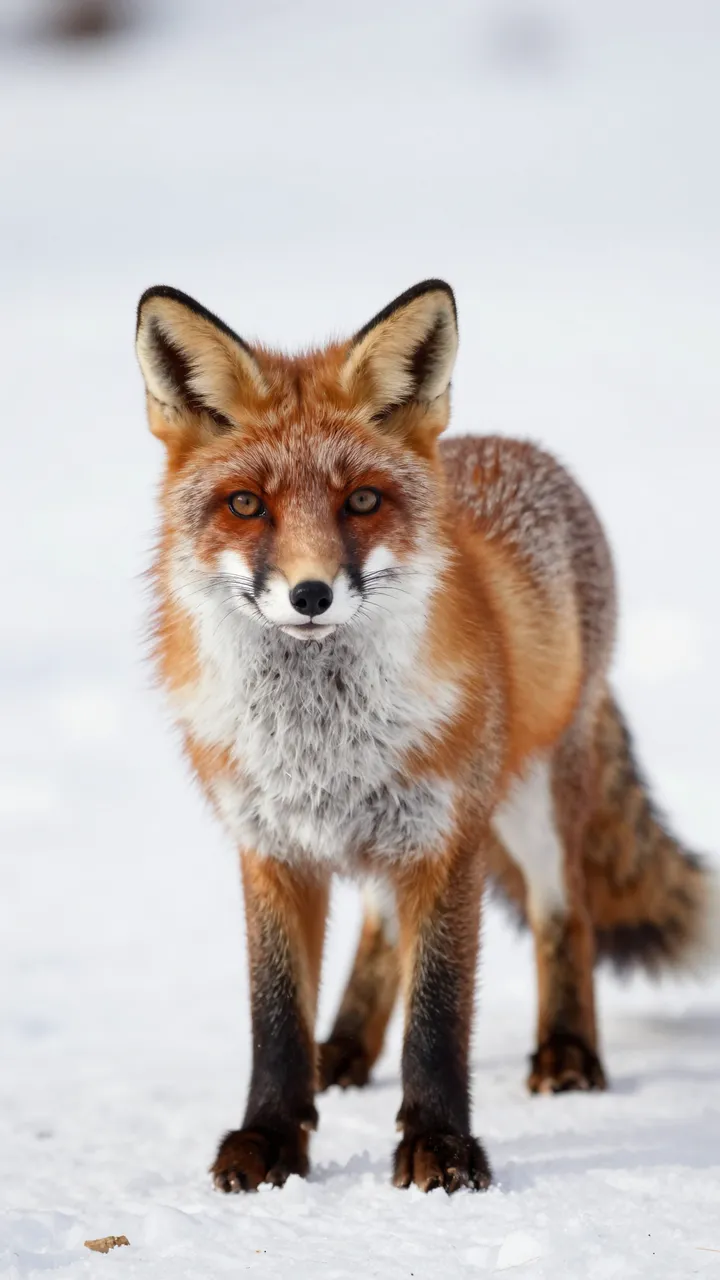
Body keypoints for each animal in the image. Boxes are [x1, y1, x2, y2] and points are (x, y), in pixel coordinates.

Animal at [135, 278, 717, 1195]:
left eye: (362, 501)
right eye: (247, 505)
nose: (309, 594)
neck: (319, 740)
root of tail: (517, 448)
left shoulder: (448, 841)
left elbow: (439, 1011)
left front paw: (441, 1147)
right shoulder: (272, 846)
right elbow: (275, 1017)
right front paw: (270, 1137)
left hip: (529, 807)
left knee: (567, 917)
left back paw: (568, 1054)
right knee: (379, 928)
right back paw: (343, 1048)